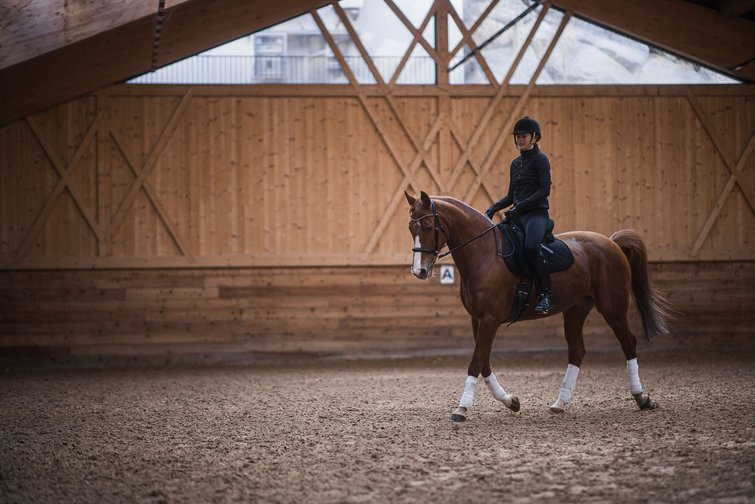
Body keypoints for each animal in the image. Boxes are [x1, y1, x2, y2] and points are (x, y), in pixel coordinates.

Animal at [405, 191, 672, 422]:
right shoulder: (477, 319)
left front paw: (461, 408)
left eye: (427, 227)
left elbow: (476, 362)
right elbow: (484, 363)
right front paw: (511, 401)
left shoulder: (489, 320)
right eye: (410, 229)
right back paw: (559, 403)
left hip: (612, 307)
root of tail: (612, 243)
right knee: (577, 350)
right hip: (576, 309)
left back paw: (641, 398)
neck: (485, 254)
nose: (419, 271)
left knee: (628, 343)